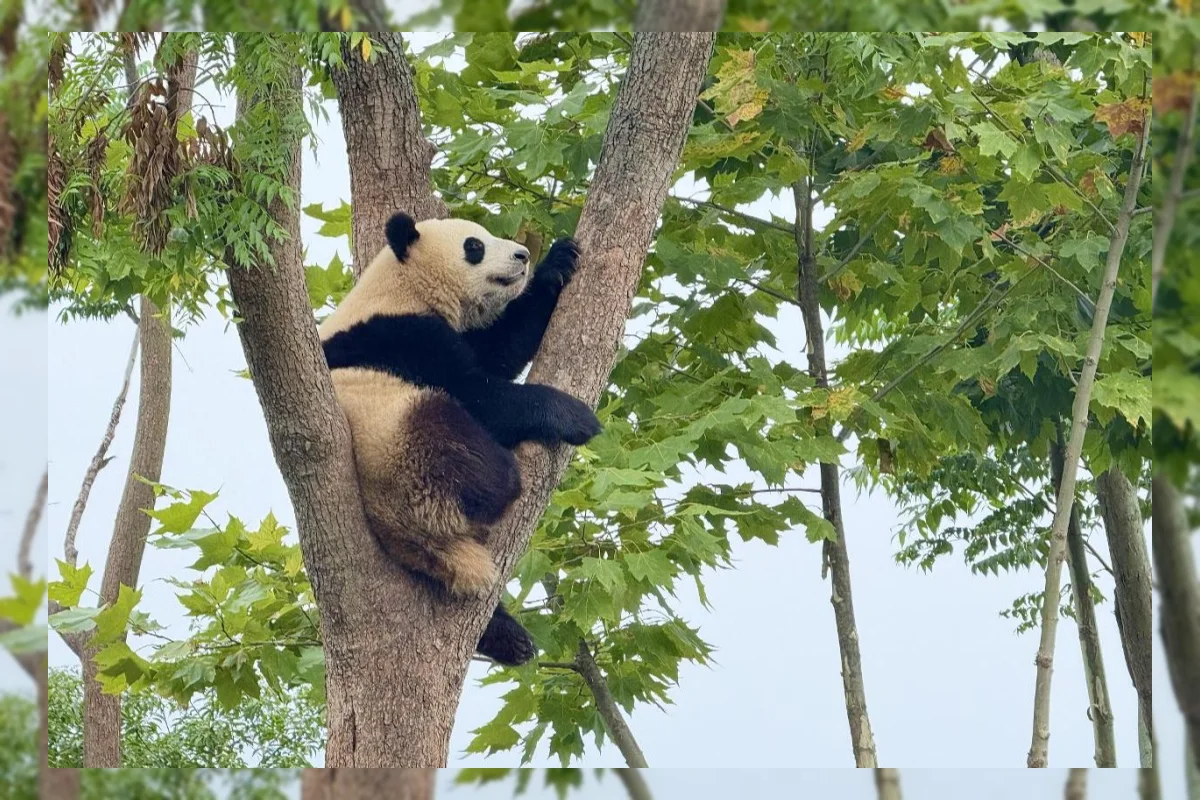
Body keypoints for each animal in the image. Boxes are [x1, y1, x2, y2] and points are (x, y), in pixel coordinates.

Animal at [318, 211, 601, 667]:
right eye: (474, 246)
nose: (522, 255)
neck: (402, 284)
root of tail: (408, 535)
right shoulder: (400, 337)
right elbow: (479, 392)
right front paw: (574, 417)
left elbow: (499, 349)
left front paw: (557, 265)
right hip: (400, 445)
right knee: (462, 448)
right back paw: (500, 483)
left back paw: (510, 638)